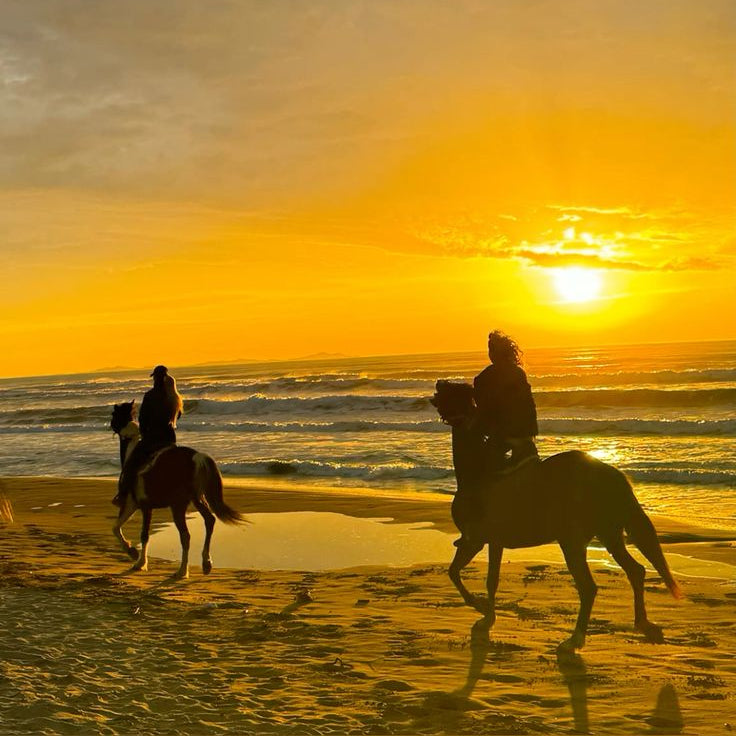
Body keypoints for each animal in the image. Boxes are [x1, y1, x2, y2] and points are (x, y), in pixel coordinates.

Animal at [110, 400, 244, 576]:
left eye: (113, 415)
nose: (109, 424)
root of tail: (196, 456)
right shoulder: (139, 505)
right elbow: (120, 528)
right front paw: (135, 555)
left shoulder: (138, 505)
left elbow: (135, 532)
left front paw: (137, 558)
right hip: (196, 498)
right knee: (209, 520)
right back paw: (206, 563)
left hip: (178, 505)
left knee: (186, 535)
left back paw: (182, 571)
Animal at [428, 380, 680, 648]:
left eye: (452, 390)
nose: (438, 384)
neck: (479, 473)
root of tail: (610, 474)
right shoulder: (490, 542)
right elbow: (481, 577)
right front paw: (486, 614)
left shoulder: (476, 540)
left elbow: (463, 574)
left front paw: (480, 608)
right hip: (608, 535)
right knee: (635, 571)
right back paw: (643, 624)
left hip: (572, 542)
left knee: (589, 587)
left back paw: (575, 639)